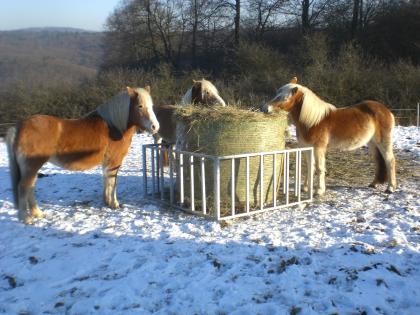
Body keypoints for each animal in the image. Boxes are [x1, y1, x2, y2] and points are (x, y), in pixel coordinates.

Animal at [6, 86, 161, 225]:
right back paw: (26, 218)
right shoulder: (114, 161)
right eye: (140, 106)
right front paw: (115, 204)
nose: (155, 127)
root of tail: (19, 127)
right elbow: (113, 182)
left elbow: (106, 180)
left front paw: (106, 202)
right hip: (32, 166)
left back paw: (37, 213)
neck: (114, 127)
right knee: (24, 187)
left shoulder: (107, 163)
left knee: (30, 187)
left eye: (151, 106)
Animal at [262, 77, 398, 196]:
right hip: (372, 143)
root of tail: (386, 111)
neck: (313, 121)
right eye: (276, 94)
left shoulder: (319, 148)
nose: (264, 108)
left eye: (284, 98)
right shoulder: (307, 148)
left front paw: (319, 191)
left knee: (390, 161)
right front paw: (305, 188)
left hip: (383, 142)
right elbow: (309, 167)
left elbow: (319, 168)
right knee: (378, 161)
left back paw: (390, 188)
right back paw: (374, 184)